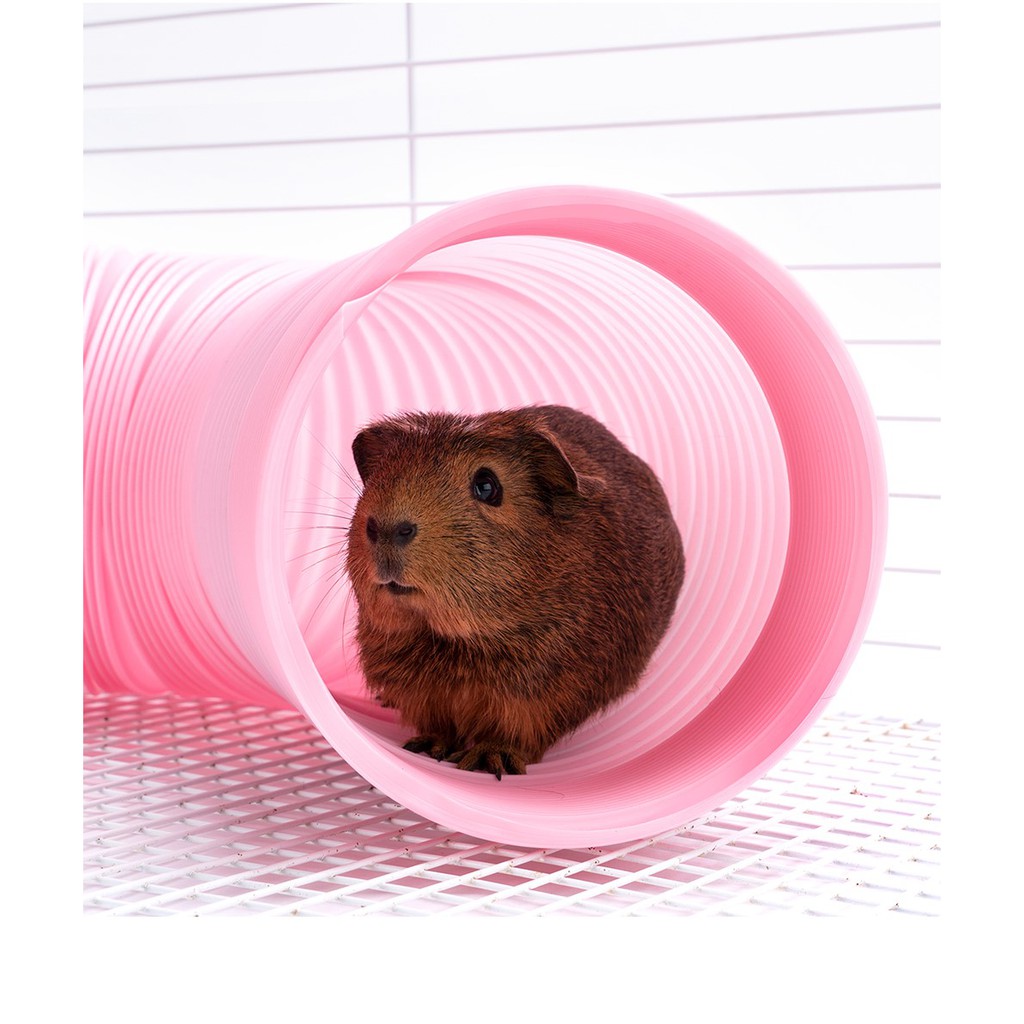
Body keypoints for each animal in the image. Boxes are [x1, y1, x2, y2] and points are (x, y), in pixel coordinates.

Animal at [345, 404, 685, 778]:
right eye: (384, 472)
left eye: (486, 486)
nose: (387, 527)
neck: (452, 644)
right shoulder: (416, 689)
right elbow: (437, 724)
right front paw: (425, 748)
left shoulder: (541, 700)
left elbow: (514, 733)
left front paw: (489, 761)